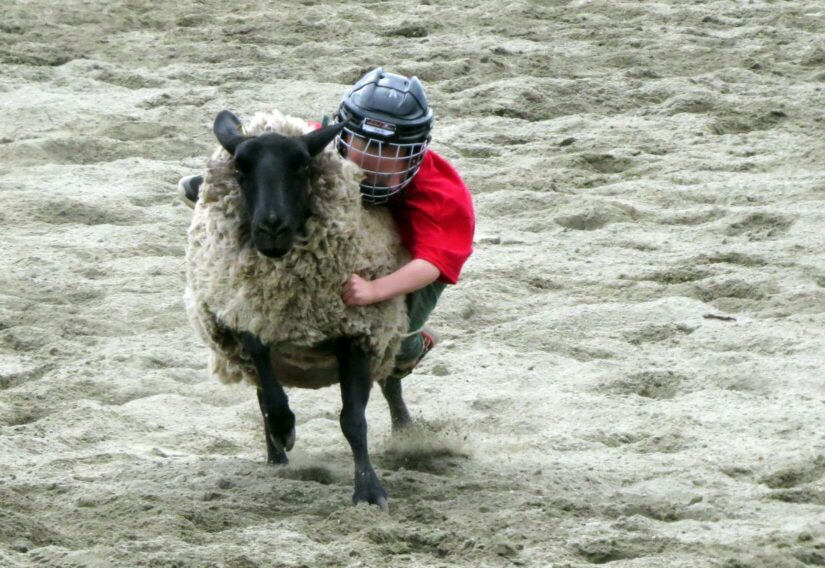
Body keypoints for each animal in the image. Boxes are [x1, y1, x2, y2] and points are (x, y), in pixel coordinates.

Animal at [183, 107, 412, 510]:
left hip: (387, 330)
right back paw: (277, 455)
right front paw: (283, 428)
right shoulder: (249, 318)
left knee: (391, 381)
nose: (271, 227)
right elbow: (271, 396)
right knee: (263, 391)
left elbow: (353, 420)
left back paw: (407, 433)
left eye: (303, 165)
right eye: (240, 167)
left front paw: (369, 491)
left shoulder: (357, 332)